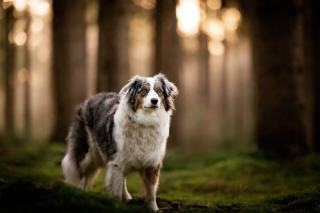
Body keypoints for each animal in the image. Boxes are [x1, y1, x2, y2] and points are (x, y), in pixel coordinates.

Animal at [61, 74, 178, 211]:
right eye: (144, 91)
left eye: (159, 91)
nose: (154, 101)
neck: (146, 121)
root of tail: (88, 101)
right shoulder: (116, 161)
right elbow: (116, 190)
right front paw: (117, 205)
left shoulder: (152, 163)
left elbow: (151, 193)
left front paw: (154, 209)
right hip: (88, 153)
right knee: (83, 173)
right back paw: (81, 193)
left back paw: (127, 197)